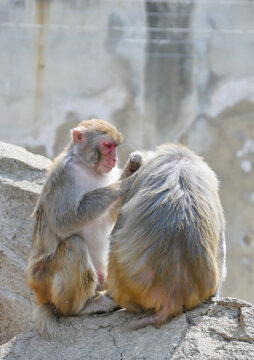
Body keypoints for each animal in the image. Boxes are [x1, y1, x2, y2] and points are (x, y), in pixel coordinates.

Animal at [26, 119, 143, 338]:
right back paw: (82, 308)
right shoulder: (65, 175)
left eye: (115, 147)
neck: (86, 166)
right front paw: (127, 181)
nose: (115, 158)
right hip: (44, 280)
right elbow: (63, 221)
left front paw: (133, 165)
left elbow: (109, 217)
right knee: (74, 245)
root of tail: (37, 293)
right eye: (108, 146)